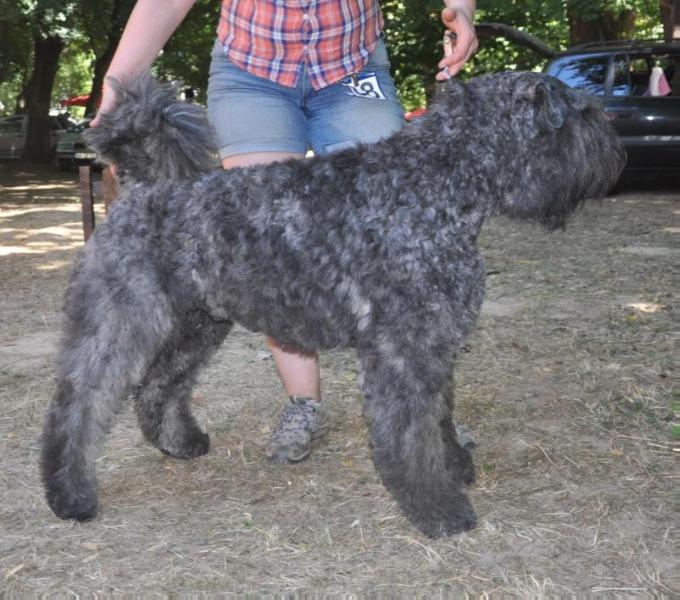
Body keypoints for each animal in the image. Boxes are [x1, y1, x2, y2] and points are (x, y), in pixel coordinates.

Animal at [41, 72, 628, 536]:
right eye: (579, 113)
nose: (616, 151)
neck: (435, 182)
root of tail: (142, 189)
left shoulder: (434, 342)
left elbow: (439, 416)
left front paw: (456, 465)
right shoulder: (403, 350)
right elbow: (411, 435)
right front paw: (439, 509)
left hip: (198, 326)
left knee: (159, 384)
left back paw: (180, 443)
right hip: (120, 320)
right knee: (79, 403)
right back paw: (69, 494)